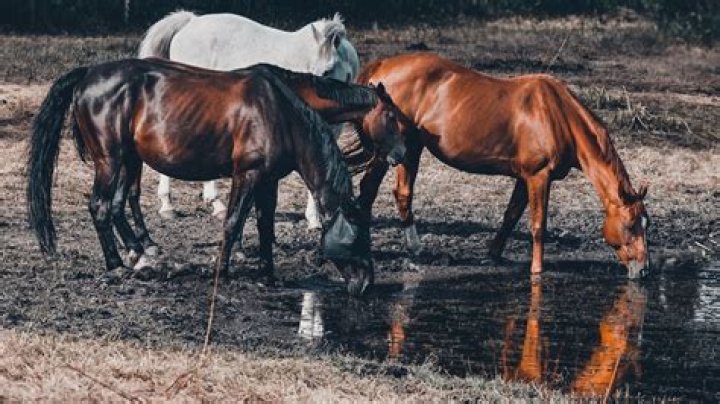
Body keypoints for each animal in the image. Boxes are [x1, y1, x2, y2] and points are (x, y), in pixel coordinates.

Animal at [26, 59, 404, 296]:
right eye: (391, 117)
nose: (366, 283)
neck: (280, 111)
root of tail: (89, 74)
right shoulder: (247, 174)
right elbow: (234, 221)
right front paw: (223, 268)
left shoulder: (268, 180)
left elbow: (264, 224)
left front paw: (268, 274)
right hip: (111, 160)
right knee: (101, 206)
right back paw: (117, 264)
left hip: (127, 160)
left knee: (117, 204)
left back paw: (139, 253)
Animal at [138, 11, 360, 227]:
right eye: (312, 68)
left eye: (328, 69)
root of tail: (190, 22)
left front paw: (314, 218)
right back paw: (168, 206)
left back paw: (215, 205)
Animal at [353, 53, 650, 278]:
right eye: (631, 224)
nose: (644, 269)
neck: (558, 115)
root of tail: (383, 65)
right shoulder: (539, 177)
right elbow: (538, 224)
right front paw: (537, 269)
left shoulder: (524, 177)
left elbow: (511, 215)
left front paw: (493, 253)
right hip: (404, 149)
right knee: (392, 193)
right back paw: (411, 247)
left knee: (371, 192)